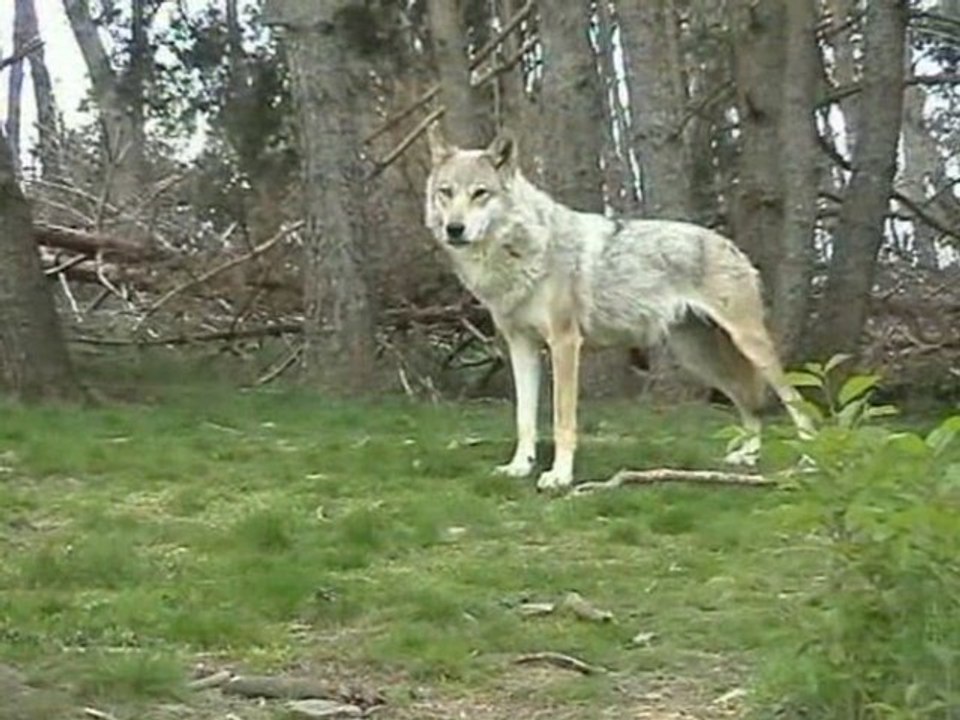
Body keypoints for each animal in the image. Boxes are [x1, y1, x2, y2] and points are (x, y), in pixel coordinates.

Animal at [424, 125, 812, 490]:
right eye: (446, 192)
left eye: (480, 193)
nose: (454, 228)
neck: (518, 253)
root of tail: (730, 244)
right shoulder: (521, 346)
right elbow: (525, 419)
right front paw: (520, 467)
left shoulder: (565, 343)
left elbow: (562, 420)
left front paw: (559, 477)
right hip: (700, 359)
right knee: (749, 405)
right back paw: (747, 456)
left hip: (749, 347)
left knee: (794, 401)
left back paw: (809, 459)